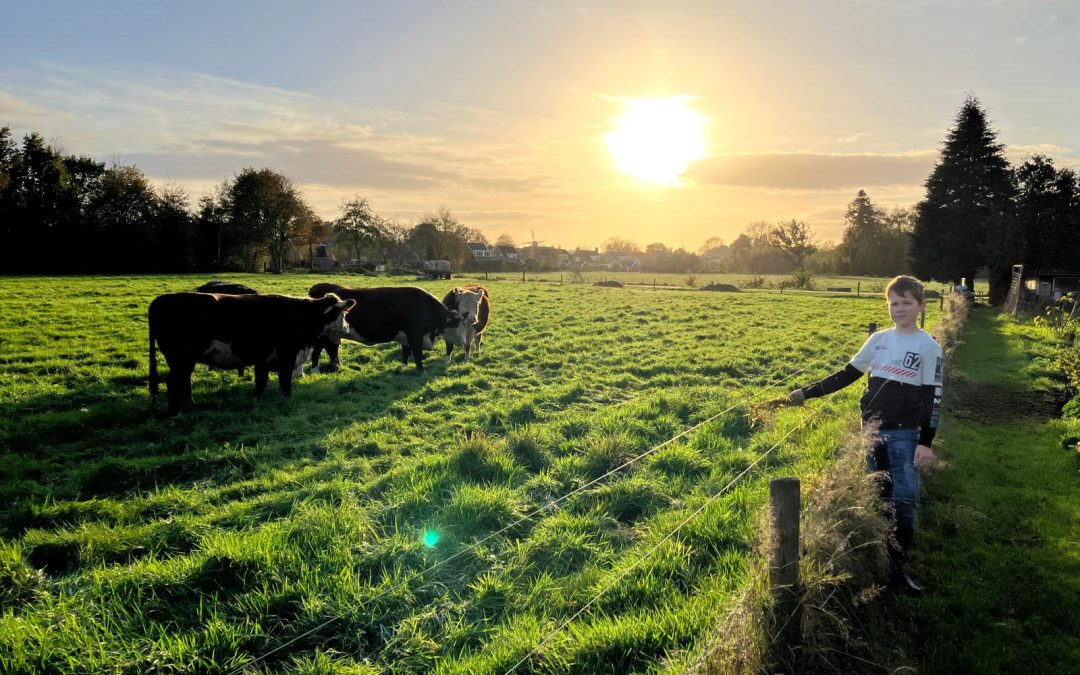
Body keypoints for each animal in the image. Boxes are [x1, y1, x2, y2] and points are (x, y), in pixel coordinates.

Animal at [147, 291, 354, 412]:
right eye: (339, 313)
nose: (346, 328)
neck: (303, 315)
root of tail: (159, 300)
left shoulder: (264, 359)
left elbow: (260, 383)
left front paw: (255, 401)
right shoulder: (287, 356)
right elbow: (285, 385)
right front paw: (286, 402)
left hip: (184, 360)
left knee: (184, 380)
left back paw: (189, 404)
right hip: (181, 357)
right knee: (174, 382)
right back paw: (176, 412)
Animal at [306, 280, 462, 371]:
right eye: (457, 324)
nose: (462, 342)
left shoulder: (406, 336)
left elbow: (405, 352)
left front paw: (404, 368)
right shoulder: (415, 334)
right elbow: (417, 354)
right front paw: (421, 371)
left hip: (333, 333)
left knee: (332, 348)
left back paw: (337, 366)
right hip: (321, 334)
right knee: (318, 350)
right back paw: (315, 370)